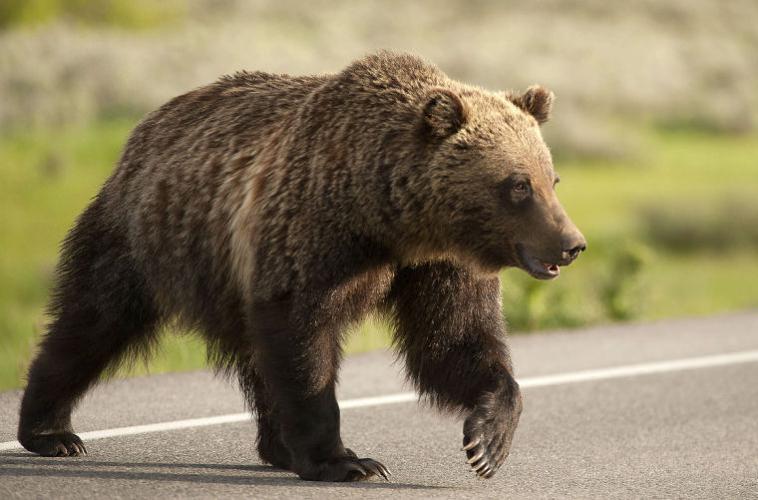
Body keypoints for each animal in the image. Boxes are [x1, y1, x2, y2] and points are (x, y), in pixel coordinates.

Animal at [17, 51, 586, 482]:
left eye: (551, 178)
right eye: (519, 185)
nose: (571, 243)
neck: (389, 217)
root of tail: (148, 125)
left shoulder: (437, 265)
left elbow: (453, 339)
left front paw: (487, 442)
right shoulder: (313, 236)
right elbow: (304, 339)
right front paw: (347, 461)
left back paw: (277, 447)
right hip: (145, 238)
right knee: (94, 322)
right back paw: (51, 432)